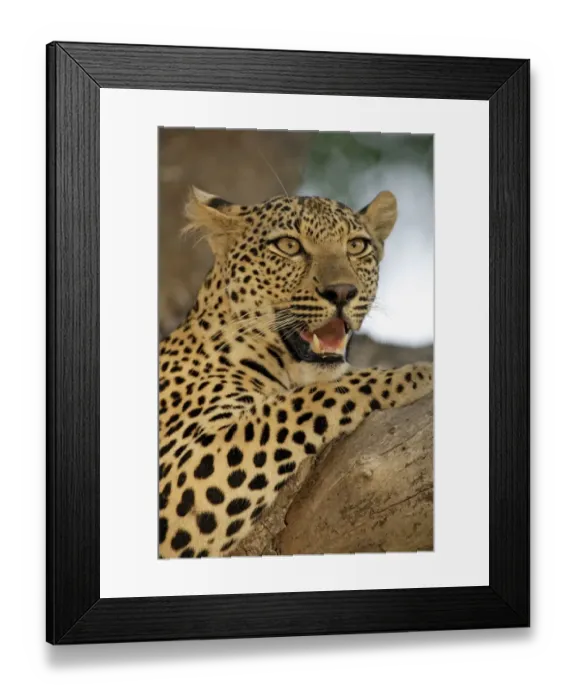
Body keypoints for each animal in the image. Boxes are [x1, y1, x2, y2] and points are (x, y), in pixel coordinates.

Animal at [158, 186, 433, 558]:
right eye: (289, 246)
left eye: (356, 246)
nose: (342, 292)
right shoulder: (179, 476)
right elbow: (298, 403)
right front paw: (412, 375)